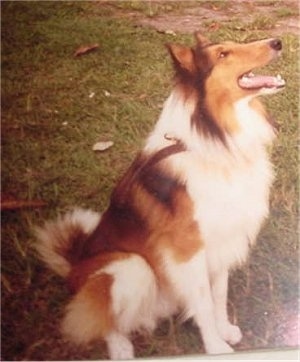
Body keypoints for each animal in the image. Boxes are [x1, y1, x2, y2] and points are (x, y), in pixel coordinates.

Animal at [34, 33, 284, 360]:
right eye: (223, 54)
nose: (277, 42)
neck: (213, 136)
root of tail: (73, 267)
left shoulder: (223, 240)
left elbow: (218, 294)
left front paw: (224, 330)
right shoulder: (188, 248)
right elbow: (204, 301)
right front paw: (215, 346)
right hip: (131, 267)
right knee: (101, 318)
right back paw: (121, 347)